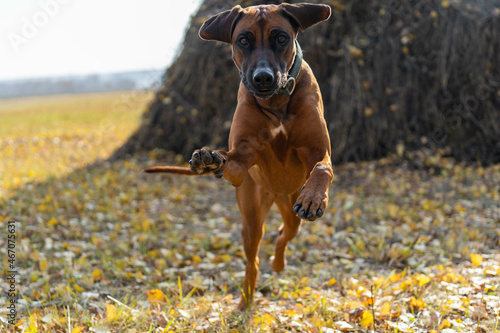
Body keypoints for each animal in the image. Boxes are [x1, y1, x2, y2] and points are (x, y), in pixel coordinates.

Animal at [145, 1, 332, 308]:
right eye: (243, 40)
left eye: (281, 37)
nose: (263, 78)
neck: (276, 102)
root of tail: (277, 193)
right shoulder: (242, 158)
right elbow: (230, 159)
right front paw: (208, 161)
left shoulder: (318, 151)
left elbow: (321, 168)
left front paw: (314, 197)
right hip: (251, 216)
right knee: (253, 259)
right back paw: (246, 300)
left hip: (290, 205)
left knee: (286, 232)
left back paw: (278, 263)